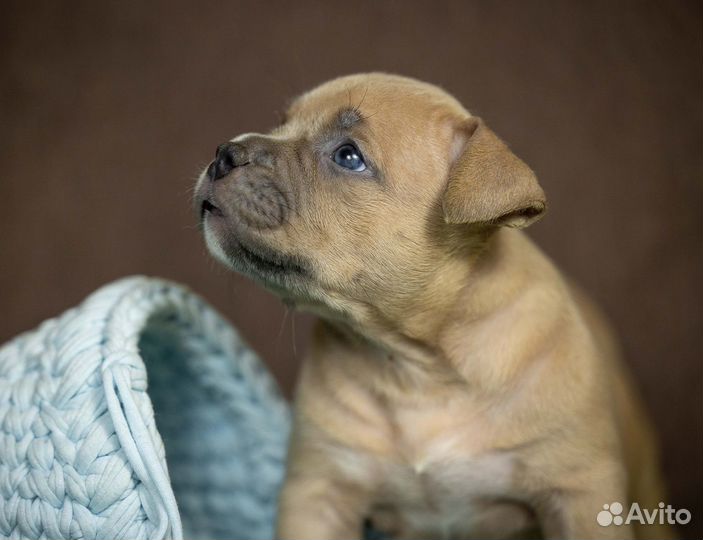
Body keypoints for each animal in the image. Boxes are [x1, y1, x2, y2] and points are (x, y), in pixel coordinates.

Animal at [192, 73, 672, 540]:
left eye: (348, 157)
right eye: (282, 122)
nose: (224, 153)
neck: (417, 369)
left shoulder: (578, 494)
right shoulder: (318, 493)